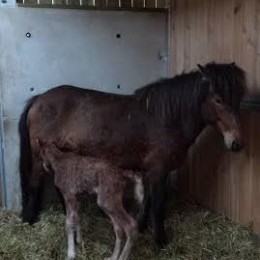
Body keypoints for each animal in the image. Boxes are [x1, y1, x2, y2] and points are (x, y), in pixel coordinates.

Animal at [18, 62, 246, 247]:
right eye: (218, 99)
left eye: (239, 98)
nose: (237, 143)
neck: (164, 118)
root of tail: (39, 99)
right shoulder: (158, 170)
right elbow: (158, 204)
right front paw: (160, 240)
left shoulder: (151, 170)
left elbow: (147, 200)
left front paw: (142, 226)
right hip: (39, 159)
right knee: (35, 183)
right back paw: (29, 219)